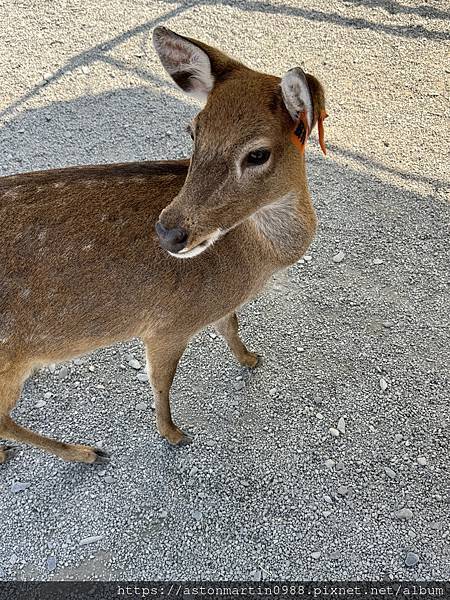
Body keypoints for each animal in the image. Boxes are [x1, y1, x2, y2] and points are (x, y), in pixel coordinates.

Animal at [0, 25, 326, 466]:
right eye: (193, 131)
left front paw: (250, 358)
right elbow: (161, 381)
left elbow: (230, 325)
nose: (169, 232)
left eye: (258, 154)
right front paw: (173, 434)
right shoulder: (166, 324)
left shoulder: (215, 307)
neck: (253, 263)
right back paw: (84, 452)